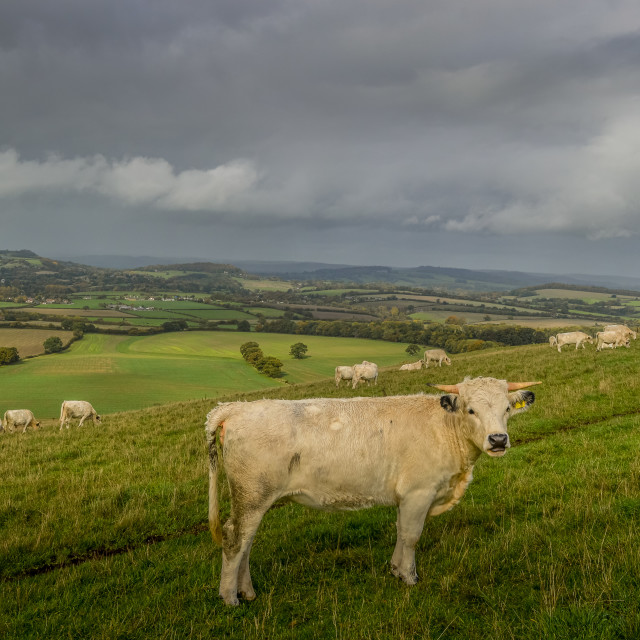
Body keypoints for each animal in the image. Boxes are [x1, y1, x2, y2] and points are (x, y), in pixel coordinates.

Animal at [205, 376, 540, 604]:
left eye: (507, 408)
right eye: (471, 410)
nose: (498, 440)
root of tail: (235, 409)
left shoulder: (407, 496)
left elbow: (400, 531)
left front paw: (395, 569)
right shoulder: (419, 492)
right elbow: (411, 535)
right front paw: (409, 577)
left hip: (253, 498)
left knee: (247, 541)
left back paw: (246, 591)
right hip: (252, 494)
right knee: (235, 539)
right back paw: (230, 597)